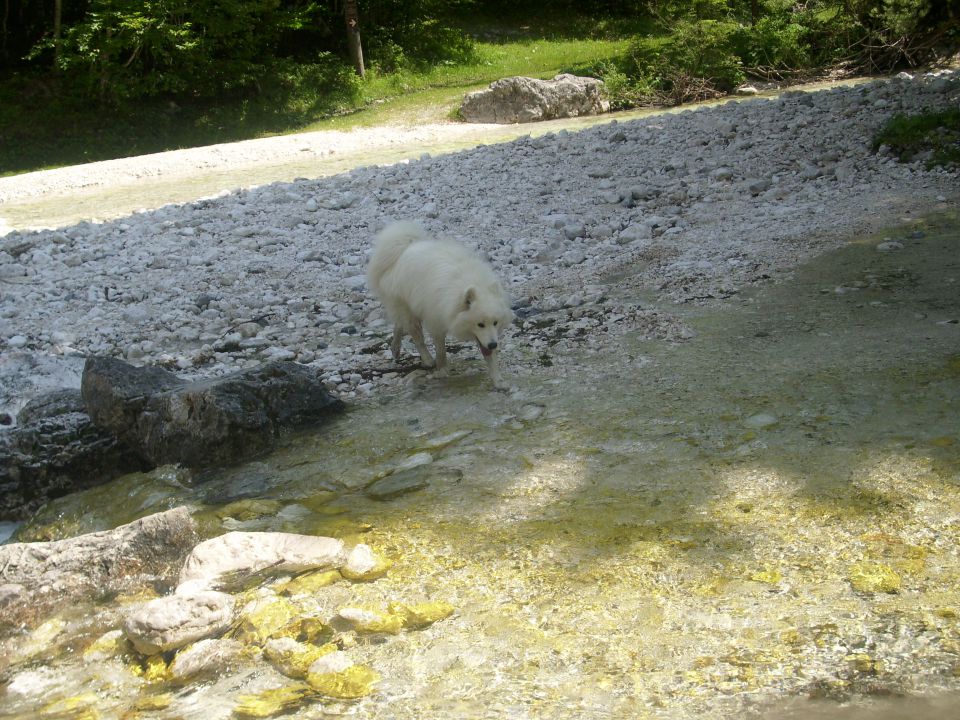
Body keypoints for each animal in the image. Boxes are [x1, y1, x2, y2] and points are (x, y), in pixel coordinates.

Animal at [368, 222, 512, 388]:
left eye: (495, 322)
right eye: (480, 324)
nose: (493, 344)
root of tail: (402, 250)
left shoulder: (487, 337)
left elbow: (490, 357)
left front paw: (498, 380)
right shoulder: (436, 318)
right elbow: (441, 351)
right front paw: (441, 371)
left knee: (399, 324)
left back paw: (395, 349)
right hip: (406, 306)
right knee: (416, 336)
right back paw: (428, 359)